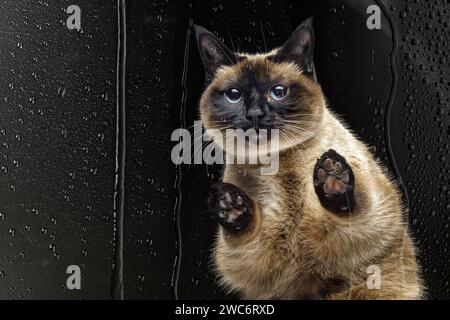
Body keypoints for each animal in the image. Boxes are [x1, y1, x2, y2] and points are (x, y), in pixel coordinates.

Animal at [193, 18, 422, 300]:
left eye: (278, 92)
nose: (255, 114)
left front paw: (332, 178)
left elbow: (355, 209)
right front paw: (230, 205)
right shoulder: (255, 262)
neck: (279, 164)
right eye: (234, 95)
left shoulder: (373, 223)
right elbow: (245, 235)